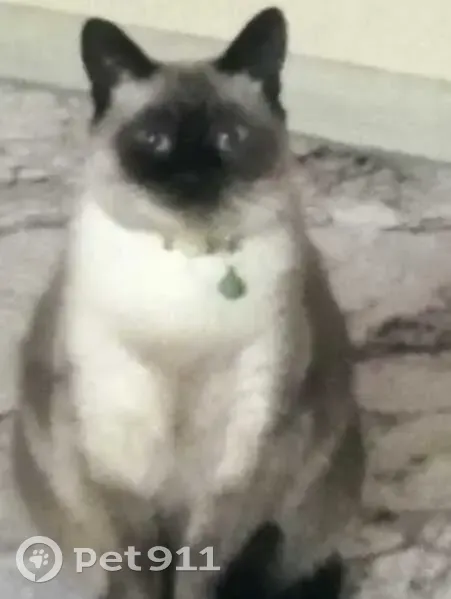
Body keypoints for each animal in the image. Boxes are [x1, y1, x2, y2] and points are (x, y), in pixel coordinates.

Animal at [12, 7, 365, 599]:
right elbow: (139, 571)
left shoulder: (238, 466)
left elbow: (197, 573)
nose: (192, 174)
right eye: (153, 137)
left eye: (228, 135)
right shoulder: (111, 465)